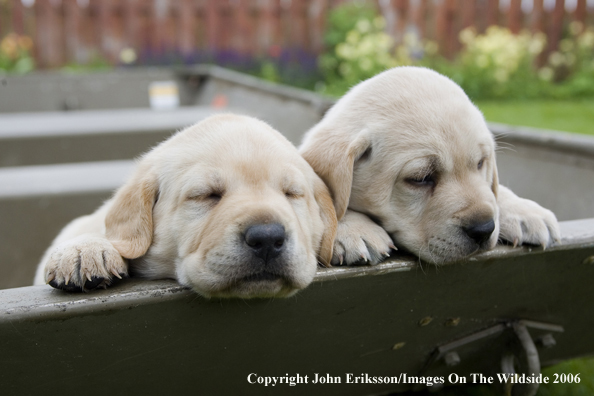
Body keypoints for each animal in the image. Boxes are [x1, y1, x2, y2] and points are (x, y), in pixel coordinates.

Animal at [298, 67, 556, 266]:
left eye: (480, 163)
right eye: (420, 178)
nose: (483, 228)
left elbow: (492, 191)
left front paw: (523, 210)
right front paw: (354, 230)